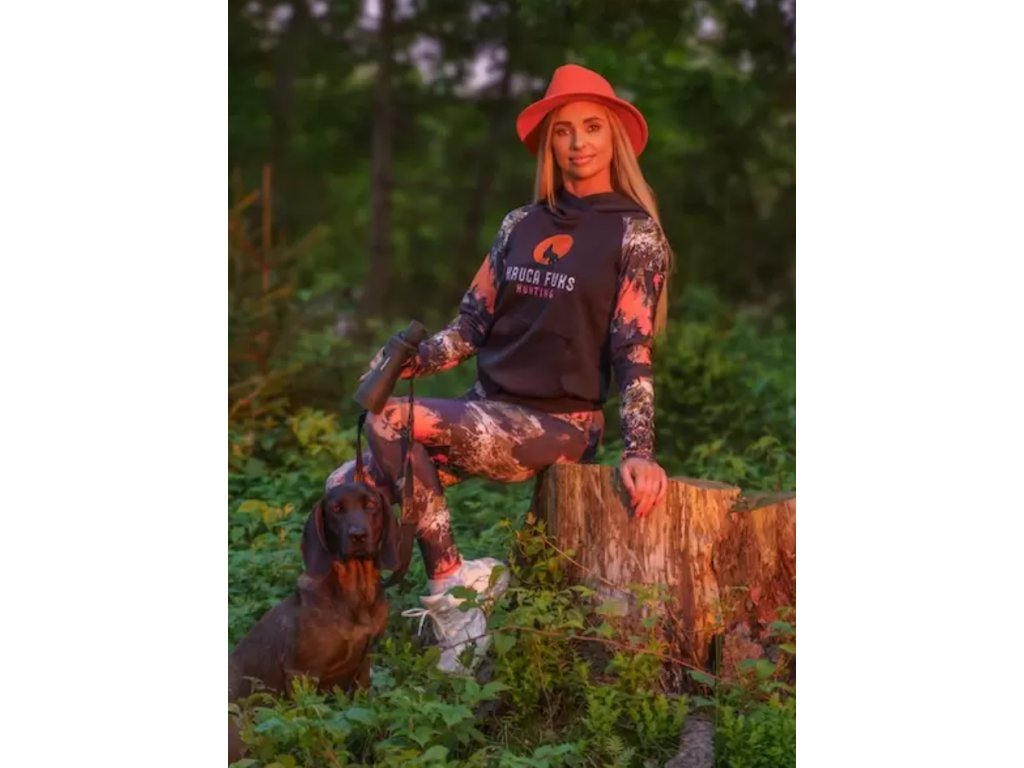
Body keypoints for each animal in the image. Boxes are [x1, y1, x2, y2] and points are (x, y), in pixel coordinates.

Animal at [228, 482, 399, 762]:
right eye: (336, 509)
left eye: (371, 505)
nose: (358, 535)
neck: (354, 595)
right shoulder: (302, 675)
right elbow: (312, 729)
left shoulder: (364, 667)